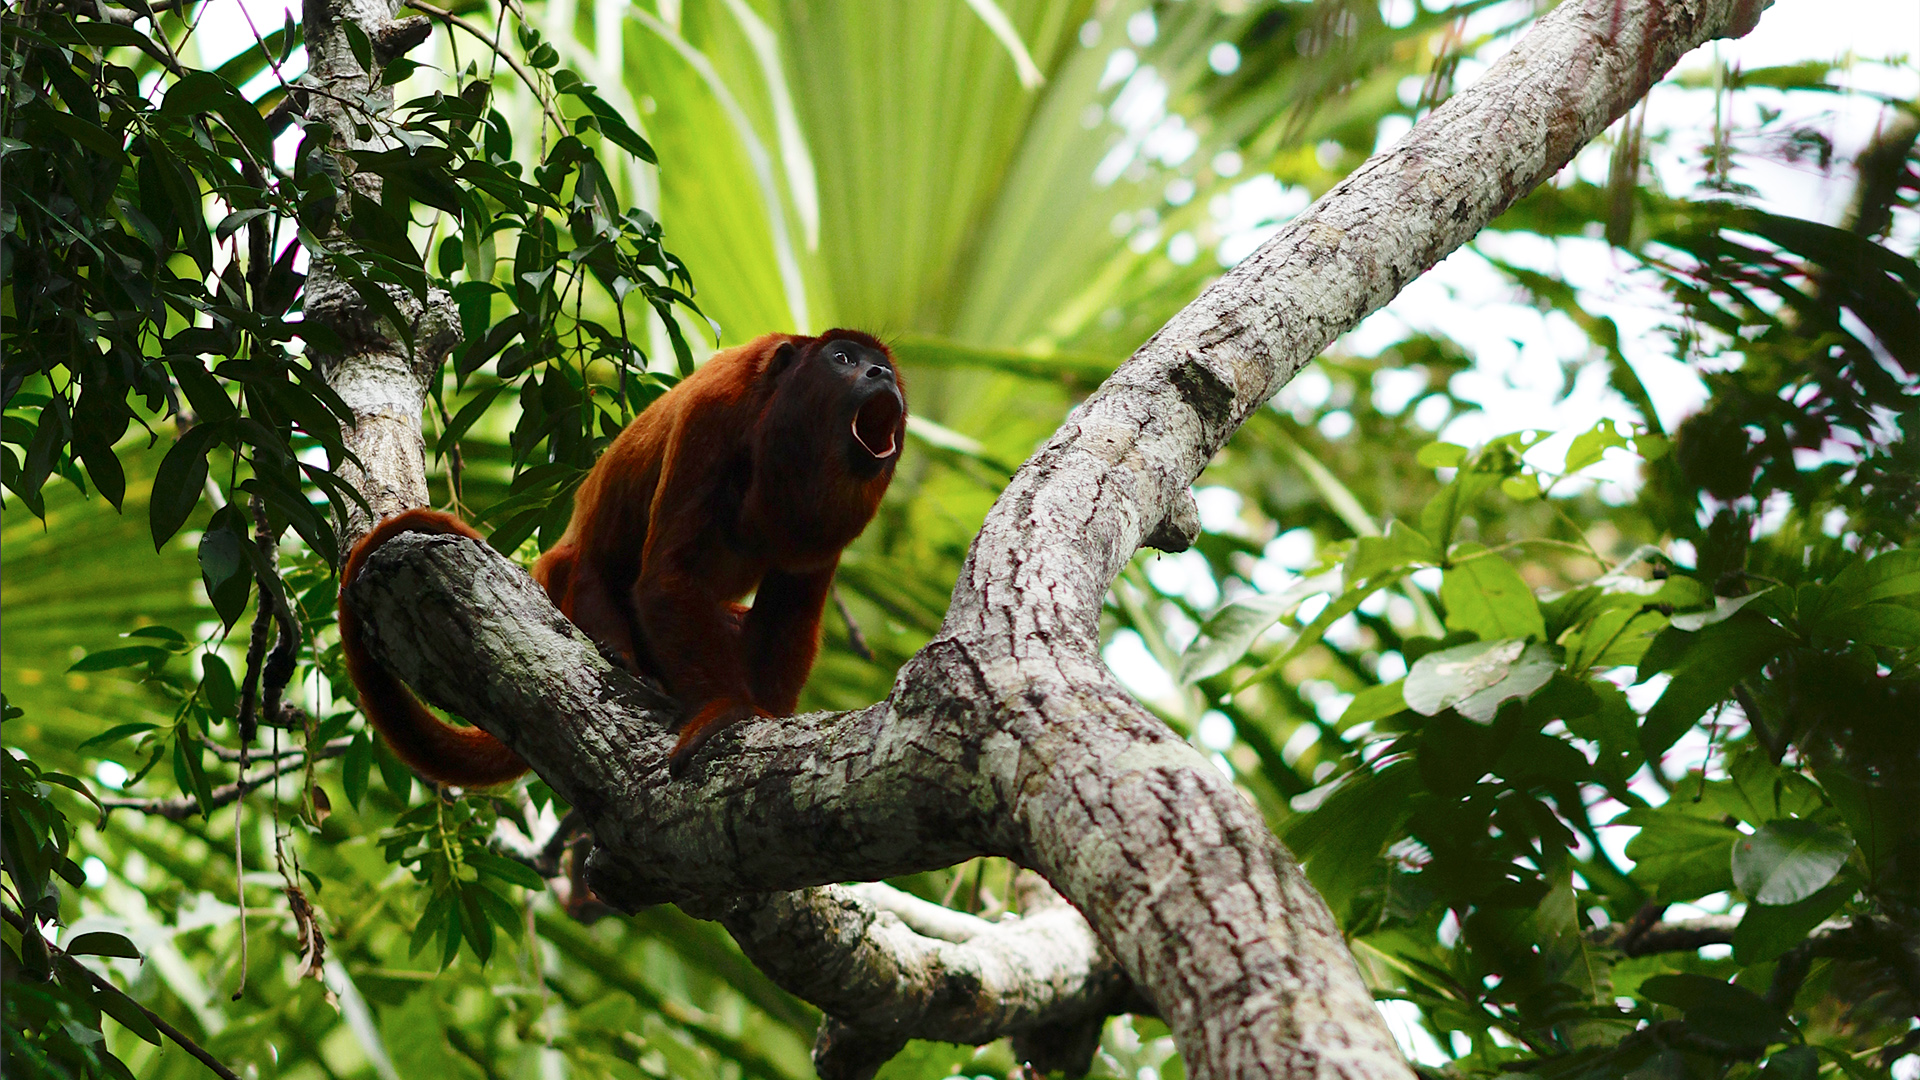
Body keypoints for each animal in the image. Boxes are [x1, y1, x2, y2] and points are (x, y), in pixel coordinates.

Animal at [337, 330, 906, 785]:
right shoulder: (714, 414)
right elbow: (668, 577)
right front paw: (728, 711)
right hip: (566, 577)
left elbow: (790, 612)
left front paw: (764, 716)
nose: (881, 374)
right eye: (843, 358)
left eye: (881, 366)